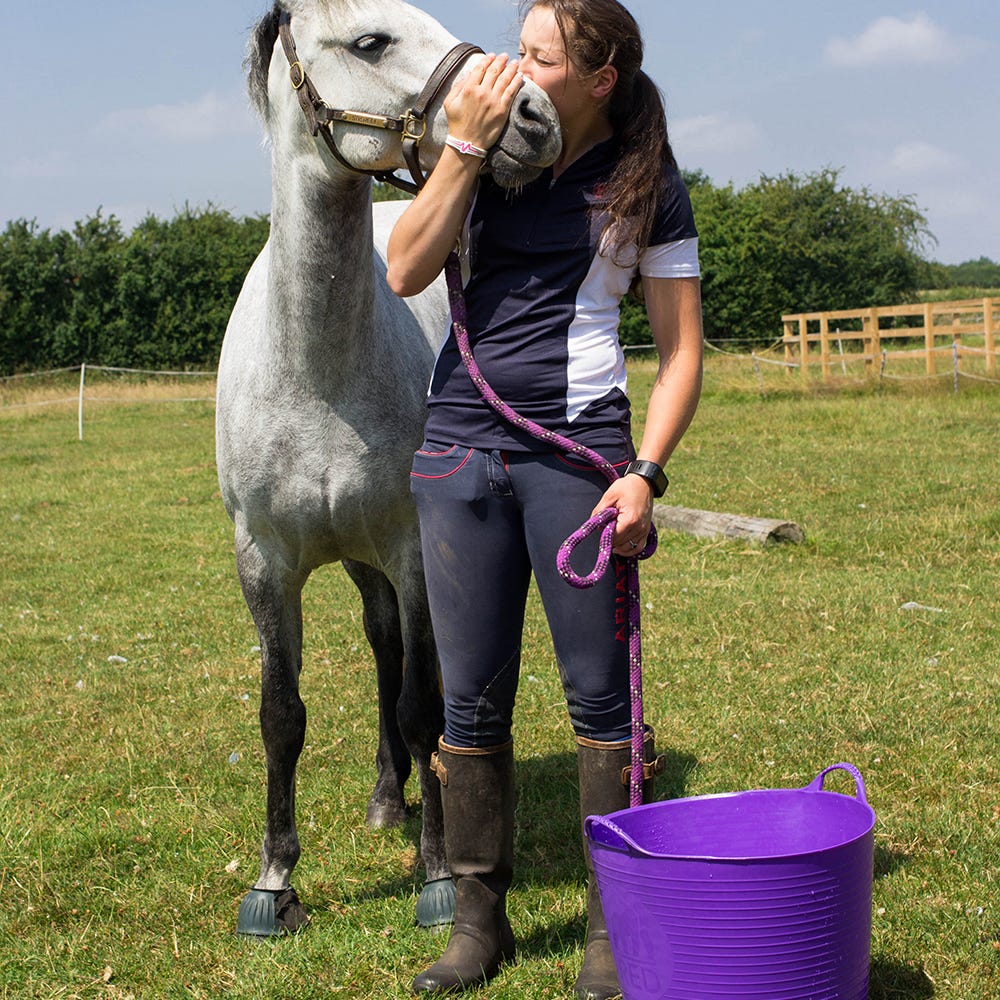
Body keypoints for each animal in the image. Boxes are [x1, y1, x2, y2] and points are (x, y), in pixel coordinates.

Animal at [216, 0, 564, 932]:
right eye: (370, 41)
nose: (536, 117)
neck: (316, 372)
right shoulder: (264, 563)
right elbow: (280, 715)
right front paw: (274, 880)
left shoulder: (411, 549)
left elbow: (418, 703)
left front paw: (440, 875)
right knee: (381, 645)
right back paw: (383, 799)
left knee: (412, 667)